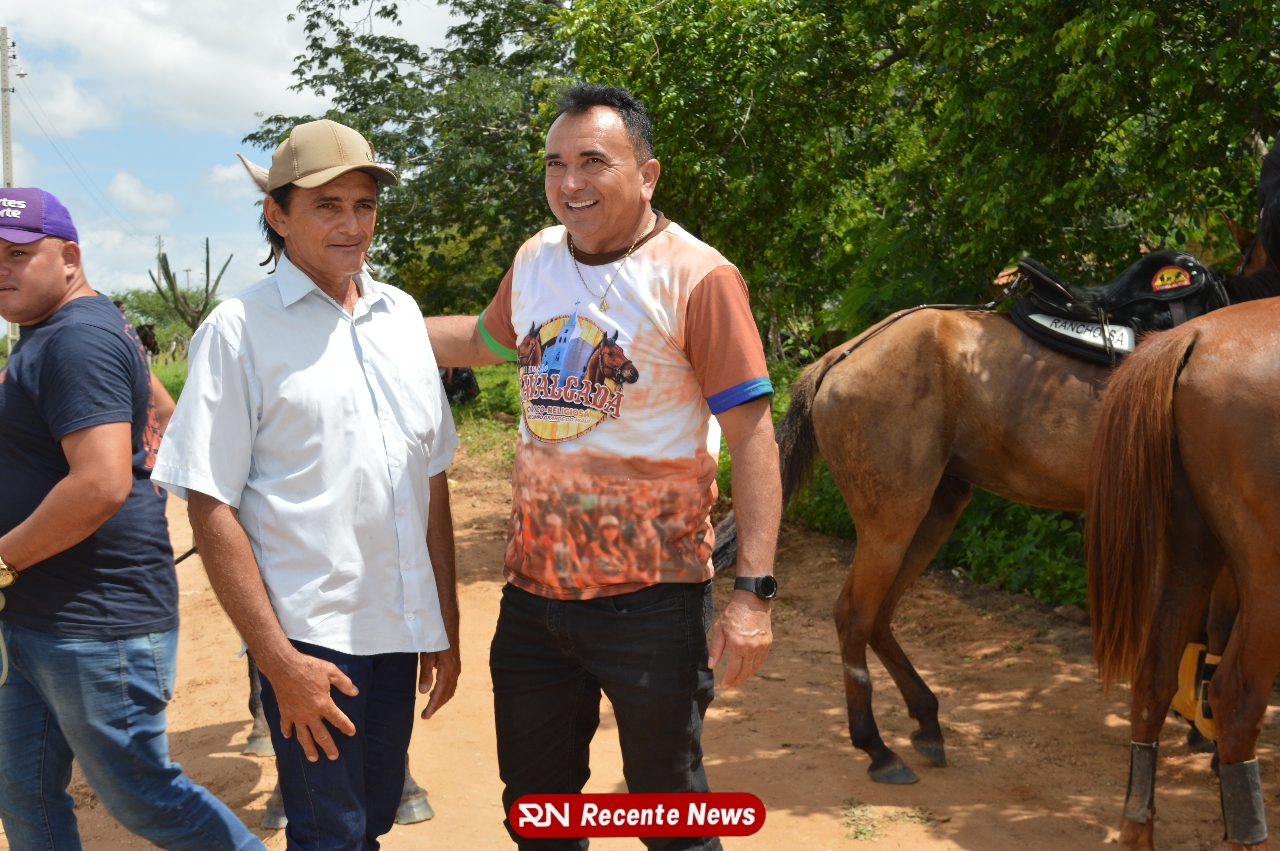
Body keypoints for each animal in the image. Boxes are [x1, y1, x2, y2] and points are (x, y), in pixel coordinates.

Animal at [713, 229, 1278, 785]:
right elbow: (1219, 632)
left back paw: (927, 721)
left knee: (879, 615)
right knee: (854, 614)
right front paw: (1210, 738)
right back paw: (877, 747)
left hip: (937, 508)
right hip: (893, 516)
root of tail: (845, 353)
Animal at [1087, 290, 1280, 850]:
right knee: (1235, 698)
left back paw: (1137, 828)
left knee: (1153, 677)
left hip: (1189, 551)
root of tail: (1193, 336)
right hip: (1268, 577)